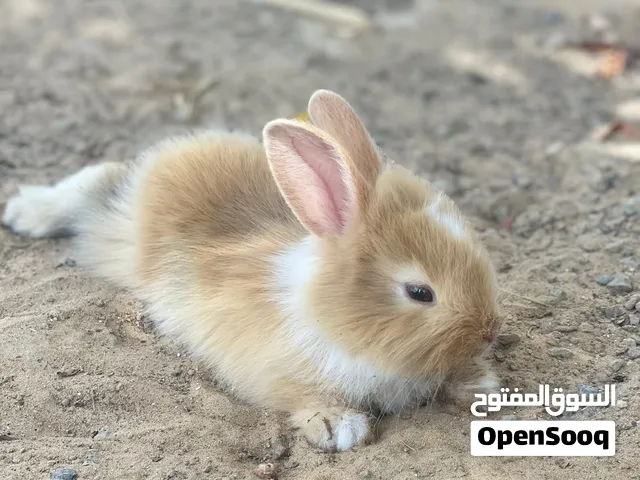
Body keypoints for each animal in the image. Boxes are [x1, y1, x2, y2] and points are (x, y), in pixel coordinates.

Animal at [2, 90, 501, 452]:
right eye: (420, 292)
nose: (489, 331)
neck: (331, 313)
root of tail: (176, 152)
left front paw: (481, 383)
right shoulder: (280, 373)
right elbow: (303, 398)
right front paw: (339, 427)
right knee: (94, 184)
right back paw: (26, 212)